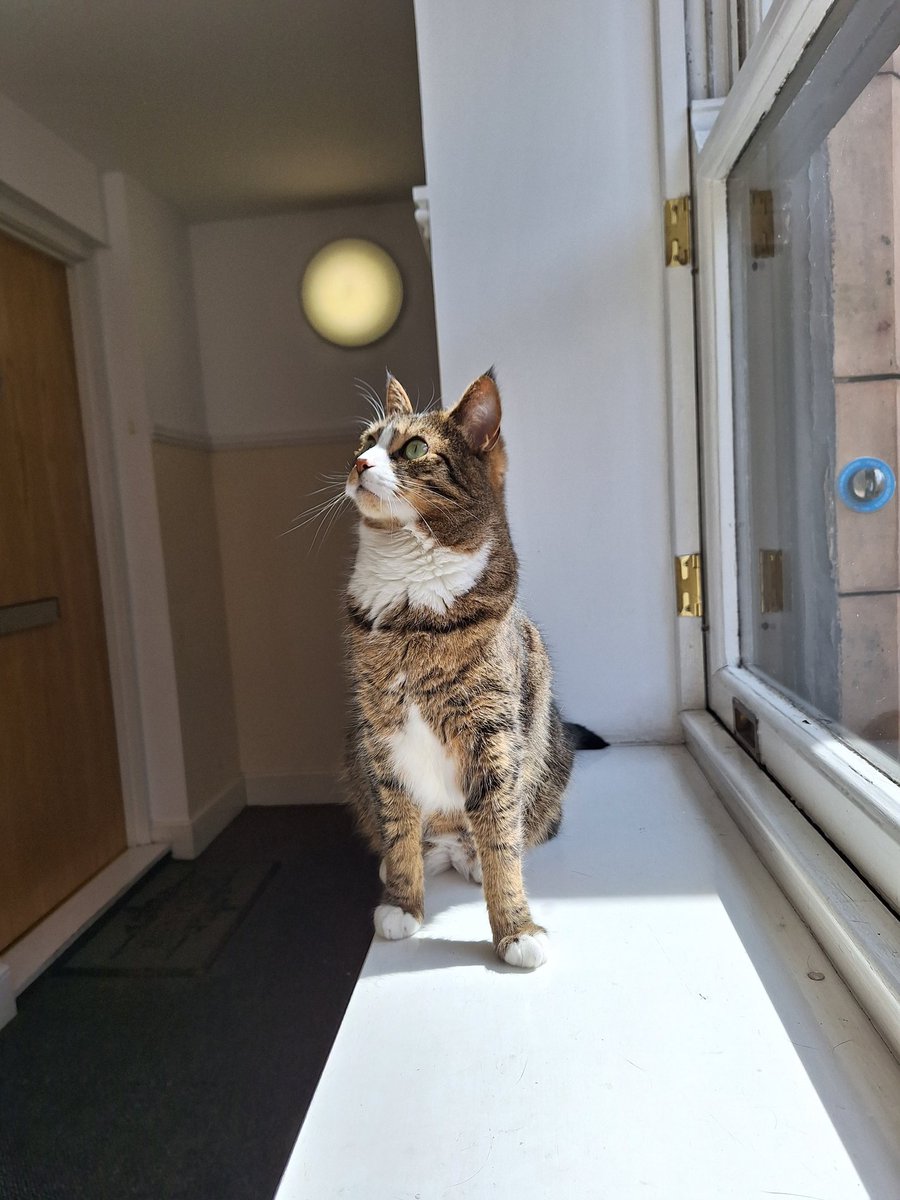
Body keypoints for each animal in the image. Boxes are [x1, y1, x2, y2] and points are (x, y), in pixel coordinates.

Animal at [345, 369, 607, 969]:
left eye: (414, 448)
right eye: (366, 441)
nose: (360, 463)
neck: (410, 613)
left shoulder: (492, 730)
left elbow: (500, 838)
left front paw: (515, 928)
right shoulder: (380, 734)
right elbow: (397, 824)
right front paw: (403, 901)